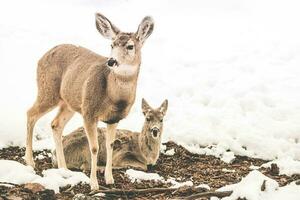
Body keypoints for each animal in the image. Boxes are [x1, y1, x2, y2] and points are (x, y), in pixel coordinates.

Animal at [25, 13, 155, 190]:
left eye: (130, 46)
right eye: (112, 44)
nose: (111, 61)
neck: (113, 98)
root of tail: (42, 56)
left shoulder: (113, 118)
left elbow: (109, 145)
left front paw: (109, 179)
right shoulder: (89, 112)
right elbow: (94, 148)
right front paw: (94, 184)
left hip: (69, 102)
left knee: (55, 124)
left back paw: (64, 169)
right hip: (48, 90)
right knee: (30, 113)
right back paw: (30, 162)